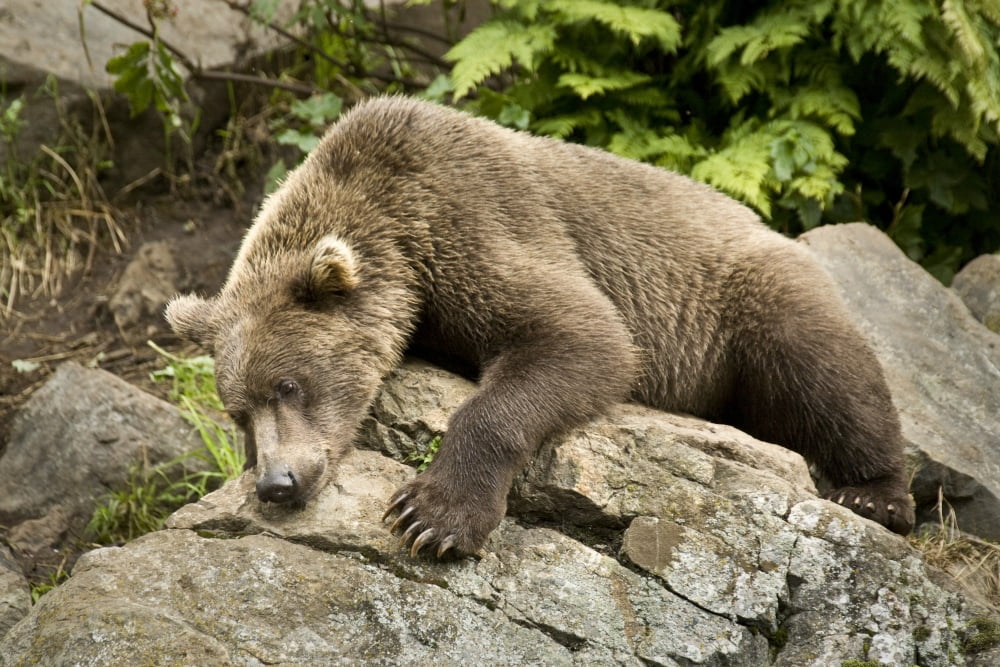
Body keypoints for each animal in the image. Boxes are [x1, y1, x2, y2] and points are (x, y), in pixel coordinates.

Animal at [166, 96, 915, 559]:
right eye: (237, 411)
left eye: (289, 383)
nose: (277, 482)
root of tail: (773, 229)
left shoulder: (476, 222)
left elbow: (581, 337)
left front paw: (432, 516)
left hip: (745, 297)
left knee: (825, 372)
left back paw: (873, 493)